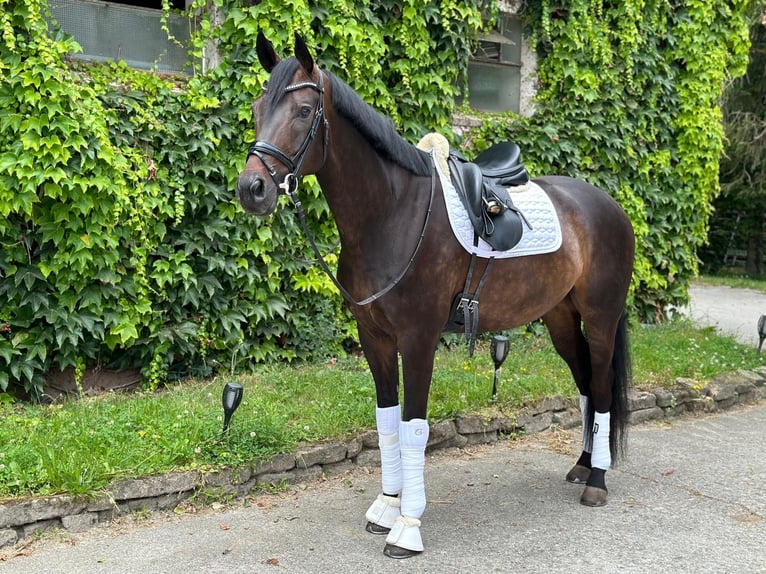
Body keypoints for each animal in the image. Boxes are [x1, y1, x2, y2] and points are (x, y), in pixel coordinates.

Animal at [236, 32, 635, 559]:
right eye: (258, 108)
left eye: (303, 110)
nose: (252, 188)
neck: (392, 213)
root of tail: (609, 206)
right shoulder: (376, 338)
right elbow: (386, 422)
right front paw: (386, 506)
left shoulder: (419, 337)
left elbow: (413, 428)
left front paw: (408, 526)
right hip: (561, 320)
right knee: (588, 384)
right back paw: (583, 465)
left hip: (601, 317)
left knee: (604, 387)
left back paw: (598, 482)